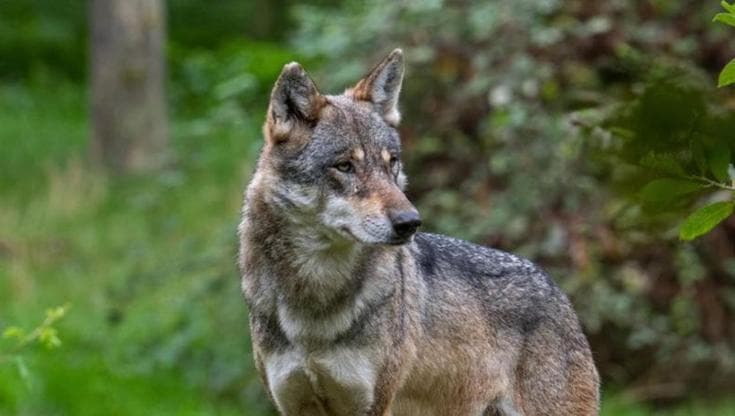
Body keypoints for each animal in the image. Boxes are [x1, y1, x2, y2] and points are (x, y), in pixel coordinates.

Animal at [238, 49, 600, 416]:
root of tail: (554, 286)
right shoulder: (293, 404)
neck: (314, 304)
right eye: (344, 166)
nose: (410, 222)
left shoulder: (375, 404)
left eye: (392, 163)